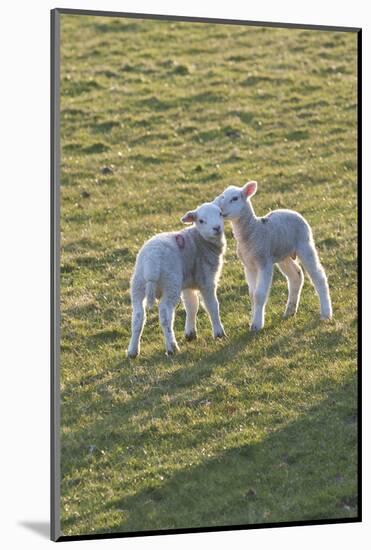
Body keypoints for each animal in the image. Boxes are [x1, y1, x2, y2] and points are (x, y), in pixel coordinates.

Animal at [128, 203, 227, 358]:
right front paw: (218, 333)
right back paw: (172, 347)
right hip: (171, 283)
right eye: (201, 221)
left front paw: (190, 334)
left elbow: (192, 306)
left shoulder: (188, 284)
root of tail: (151, 263)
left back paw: (132, 351)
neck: (200, 240)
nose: (216, 228)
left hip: (138, 284)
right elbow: (212, 306)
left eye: (220, 214)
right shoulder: (206, 280)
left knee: (138, 317)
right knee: (165, 315)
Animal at [215, 183, 334, 334]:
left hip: (304, 244)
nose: (220, 210)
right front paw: (253, 319)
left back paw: (326, 313)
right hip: (283, 254)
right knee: (296, 276)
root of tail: (292, 211)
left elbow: (259, 295)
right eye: (222, 196)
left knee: (319, 276)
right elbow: (252, 294)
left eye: (235, 198)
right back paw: (290, 311)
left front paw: (257, 325)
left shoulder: (264, 262)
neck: (252, 231)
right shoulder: (249, 265)